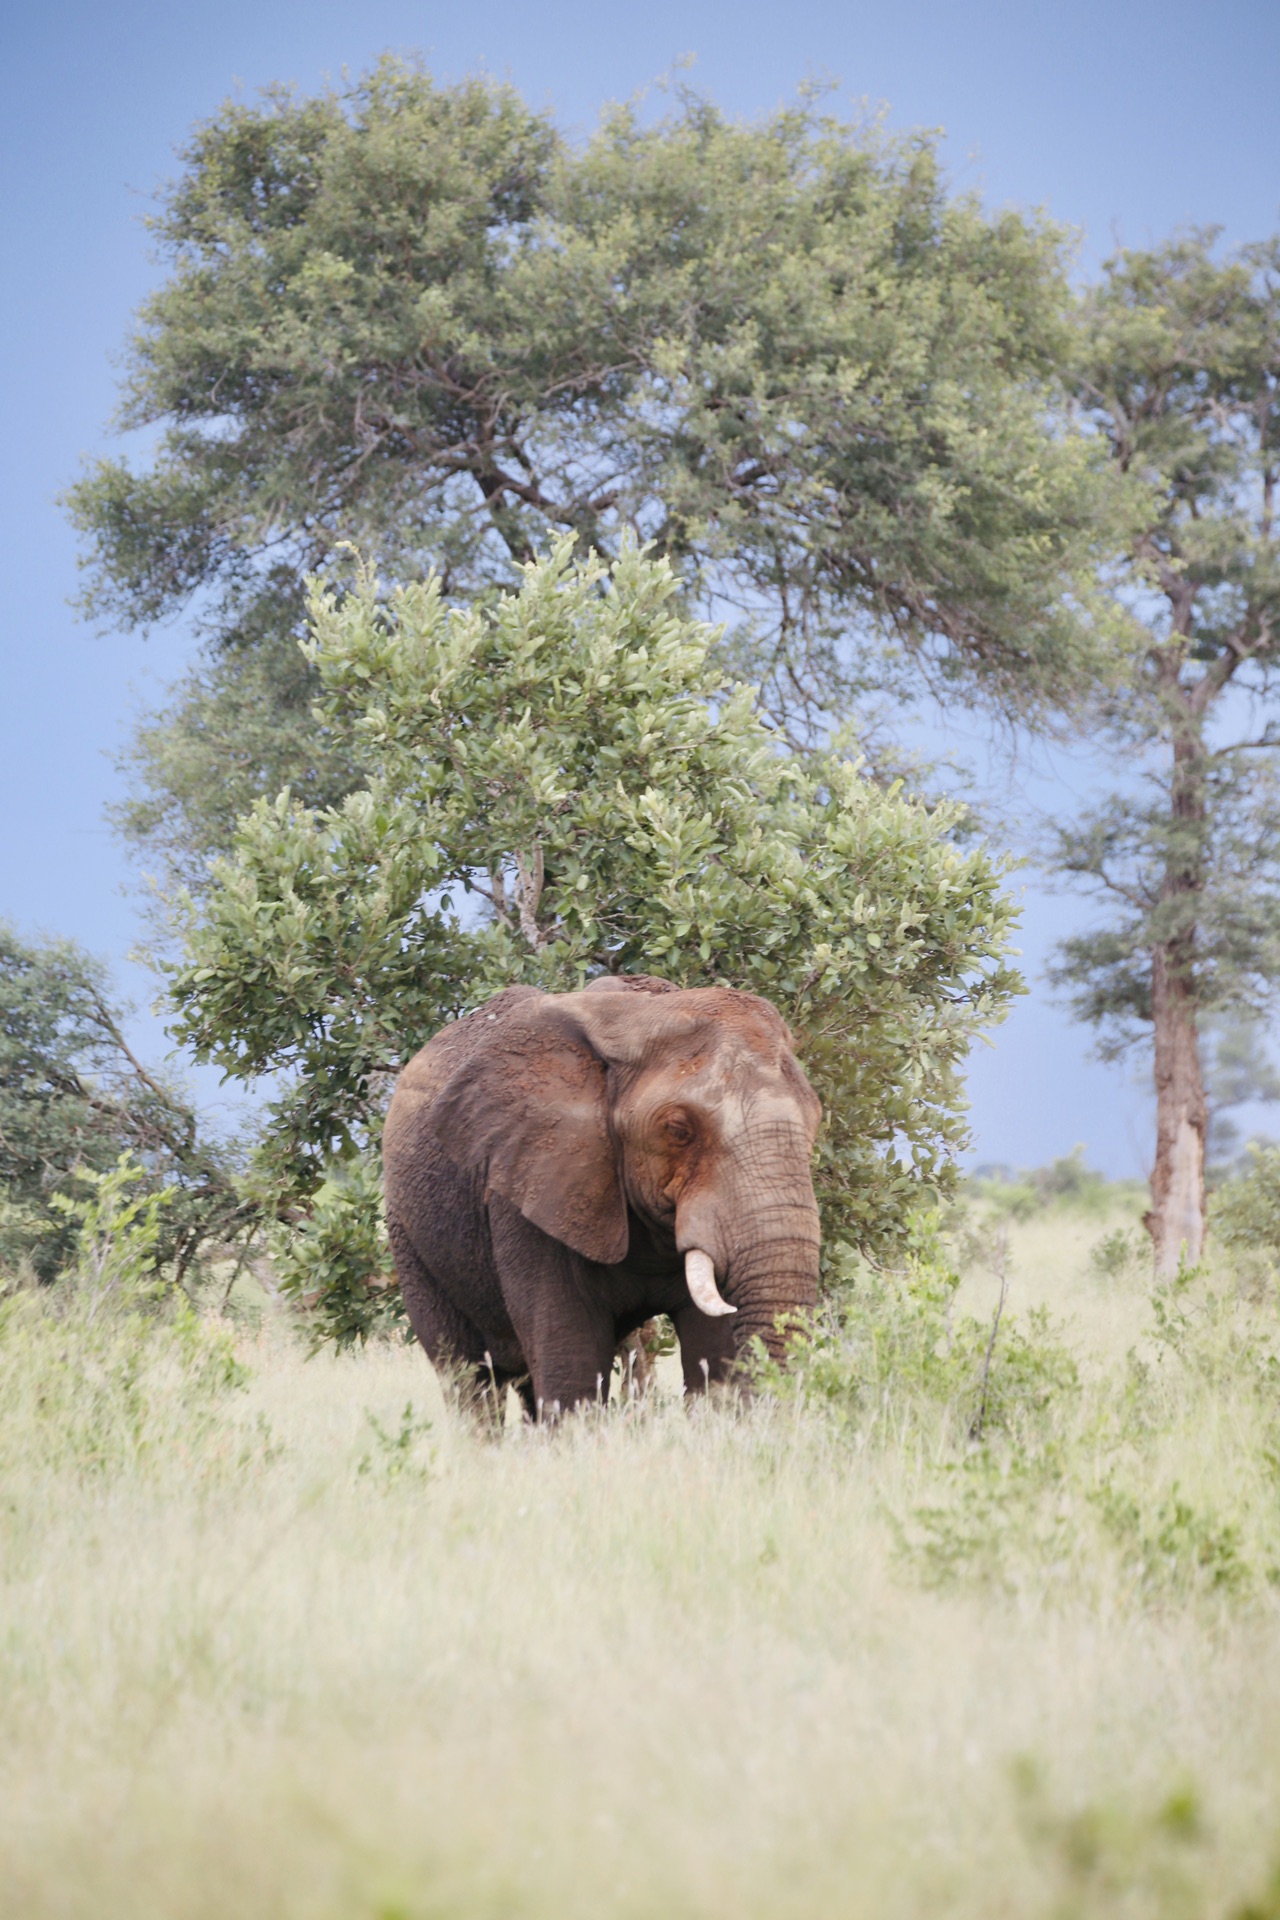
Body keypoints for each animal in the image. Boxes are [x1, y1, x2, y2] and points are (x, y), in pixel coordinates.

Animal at [379, 975, 821, 1413]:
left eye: (816, 1118)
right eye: (678, 1130)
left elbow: (712, 1354)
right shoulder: (529, 1186)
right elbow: (570, 1369)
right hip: (409, 1237)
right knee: (468, 1378)